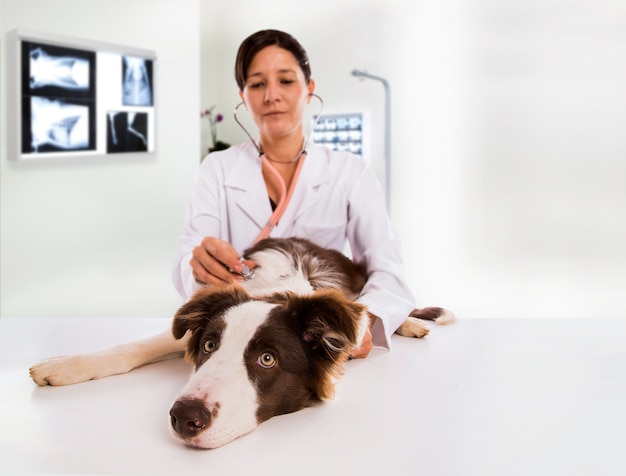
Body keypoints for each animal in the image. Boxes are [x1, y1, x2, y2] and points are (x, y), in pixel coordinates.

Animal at [29, 238, 450, 450]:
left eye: (267, 359)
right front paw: (63, 366)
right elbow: (131, 348)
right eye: (209, 347)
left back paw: (409, 322)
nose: (184, 418)